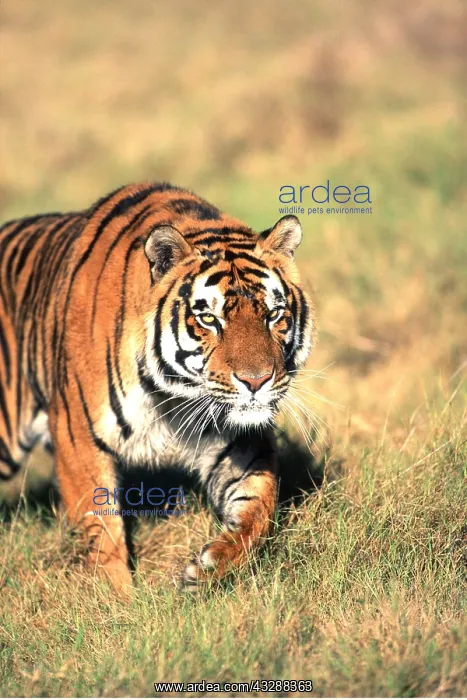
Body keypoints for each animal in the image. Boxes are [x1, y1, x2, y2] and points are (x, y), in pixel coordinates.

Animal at [0, 182, 314, 592]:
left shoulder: (239, 441)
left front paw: (210, 566)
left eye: (274, 314)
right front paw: (117, 600)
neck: (173, 398)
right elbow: (102, 530)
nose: (257, 381)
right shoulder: (78, 437)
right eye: (209, 319)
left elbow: (259, 507)